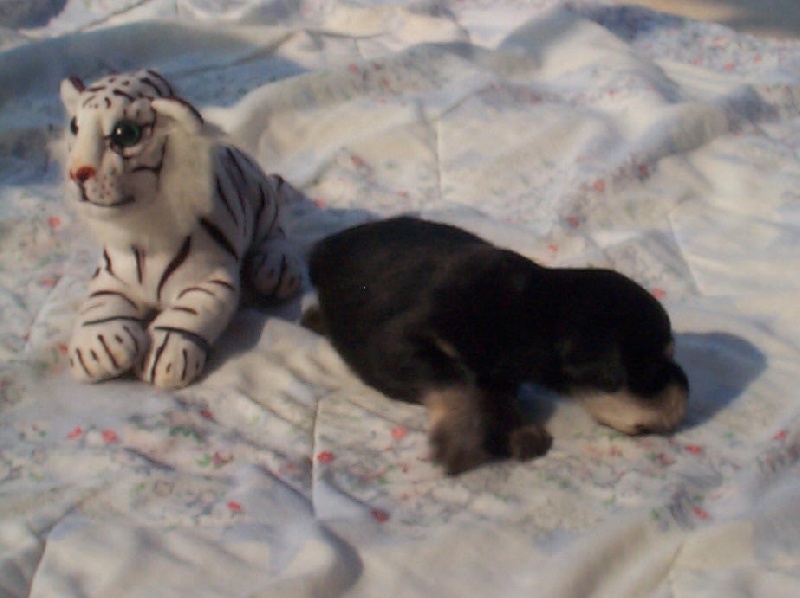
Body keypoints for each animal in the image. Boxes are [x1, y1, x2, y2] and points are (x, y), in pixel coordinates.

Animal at [303, 217, 689, 475]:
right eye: (652, 372)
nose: (687, 386)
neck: (527, 312)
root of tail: (327, 243)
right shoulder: (399, 342)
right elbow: (456, 381)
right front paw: (459, 440)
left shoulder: (501, 372)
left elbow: (493, 394)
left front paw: (519, 432)